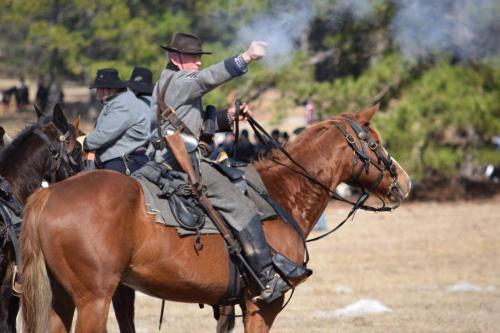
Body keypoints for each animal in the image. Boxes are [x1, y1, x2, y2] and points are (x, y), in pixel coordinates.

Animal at [19, 105, 410, 330]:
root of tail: (48, 193)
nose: (404, 181)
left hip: (63, 300)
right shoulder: (261, 307)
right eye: (373, 142)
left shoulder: (228, 307)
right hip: (94, 300)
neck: (281, 193)